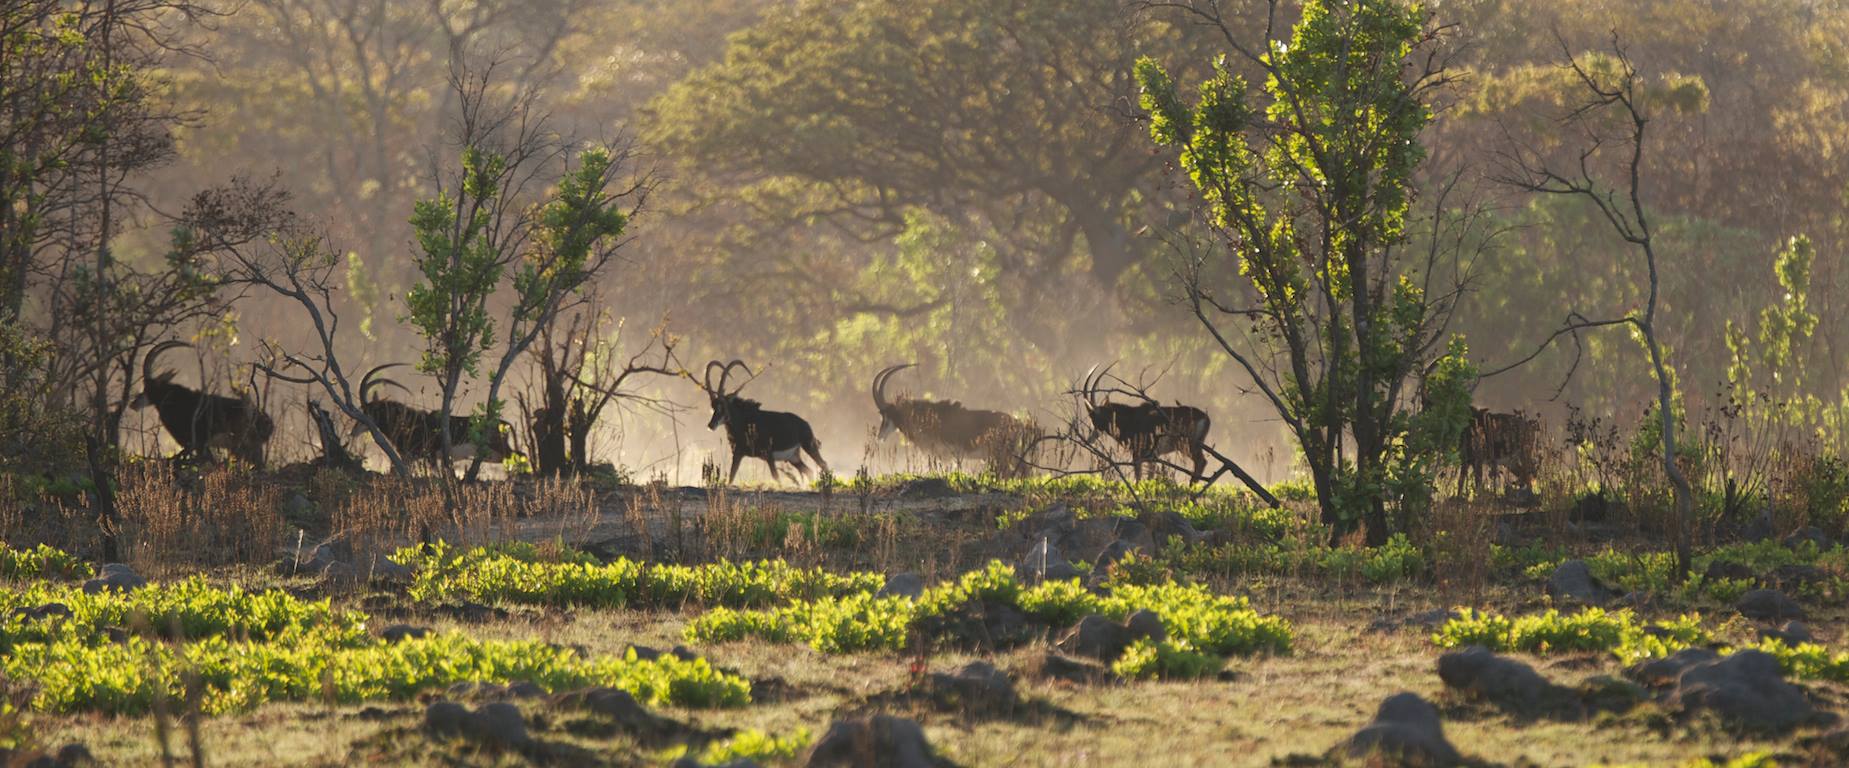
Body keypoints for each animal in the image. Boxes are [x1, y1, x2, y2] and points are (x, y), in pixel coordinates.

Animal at [131, 341, 274, 467]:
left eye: (148, 387)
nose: (134, 404)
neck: (173, 398)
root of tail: (266, 420)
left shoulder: (194, 443)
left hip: (243, 445)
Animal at [350, 364, 513, 466]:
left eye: (366, 411)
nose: (352, 432)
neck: (407, 421)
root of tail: (505, 423)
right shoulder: (413, 457)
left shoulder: (426, 455)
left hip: (498, 449)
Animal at [1078, 363, 1211, 484]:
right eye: (1092, 419)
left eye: (1098, 417)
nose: (1089, 440)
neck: (1130, 418)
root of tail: (1205, 417)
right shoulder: (1152, 457)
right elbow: (1149, 477)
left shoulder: (1138, 454)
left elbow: (1138, 478)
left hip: (1188, 445)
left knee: (1201, 462)